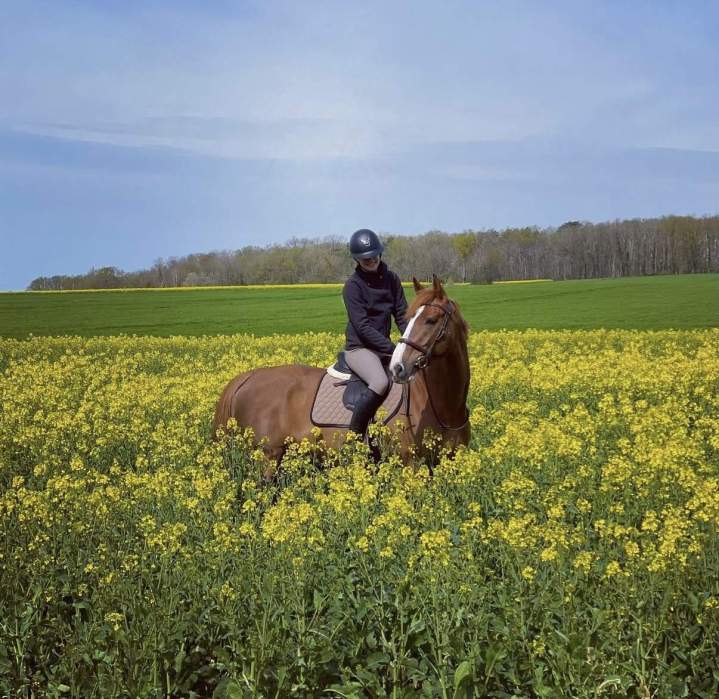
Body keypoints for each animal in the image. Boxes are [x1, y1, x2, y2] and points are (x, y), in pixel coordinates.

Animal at [212, 275, 470, 468]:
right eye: (409, 320)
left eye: (431, 320)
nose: (398, 368)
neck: (444, 407)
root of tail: (247, 378)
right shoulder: (411, 466)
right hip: (267, 456)